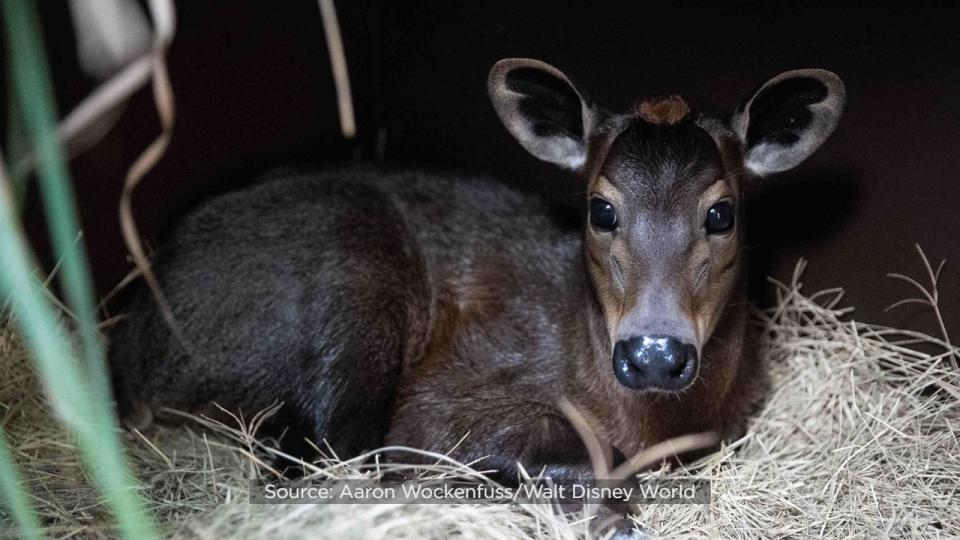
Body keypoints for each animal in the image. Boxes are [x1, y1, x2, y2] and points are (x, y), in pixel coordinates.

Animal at [109, 58, 844, 480]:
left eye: (721, 213)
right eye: (600, 208)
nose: (655, 354)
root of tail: (134, 347)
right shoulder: (443, 401)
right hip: (351, 275)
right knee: (332, 449)